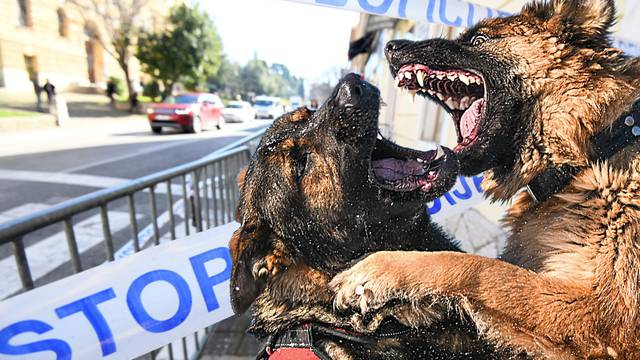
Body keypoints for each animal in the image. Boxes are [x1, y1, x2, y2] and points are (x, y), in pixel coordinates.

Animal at [330, 0, 640, 358]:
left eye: (479, 39)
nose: (392, 46)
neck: (593, 148)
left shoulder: (600, 316)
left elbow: (479, 268)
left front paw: (376, 270)